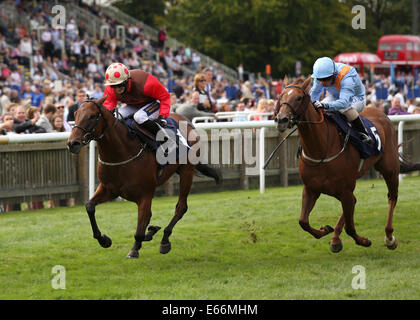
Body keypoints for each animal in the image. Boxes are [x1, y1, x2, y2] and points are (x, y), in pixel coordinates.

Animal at [67, 96, 221, 258]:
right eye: (75, 114)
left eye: (92, 116)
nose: (72, 143)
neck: (121, 153)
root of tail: (187, 120)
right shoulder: (109, 189)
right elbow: (90, 206)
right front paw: (104, 240)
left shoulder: (145, 194)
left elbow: (140, 229)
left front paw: (135, 248)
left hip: (187, 171)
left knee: (181, 207)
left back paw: (165, 240)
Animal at [276, 77, 420, 252]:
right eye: (281, 96)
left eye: (298, 97)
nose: (281, 119)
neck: (321, 149)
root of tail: (381, 113)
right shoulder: (311, 189)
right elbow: (303, 221)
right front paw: (326, 230)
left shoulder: (344, 190)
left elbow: (350, 228)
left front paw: (364, 241)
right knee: (355, 201)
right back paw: (335, 239)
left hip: (389, 168)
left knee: (392, 197)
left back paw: (389, 237)